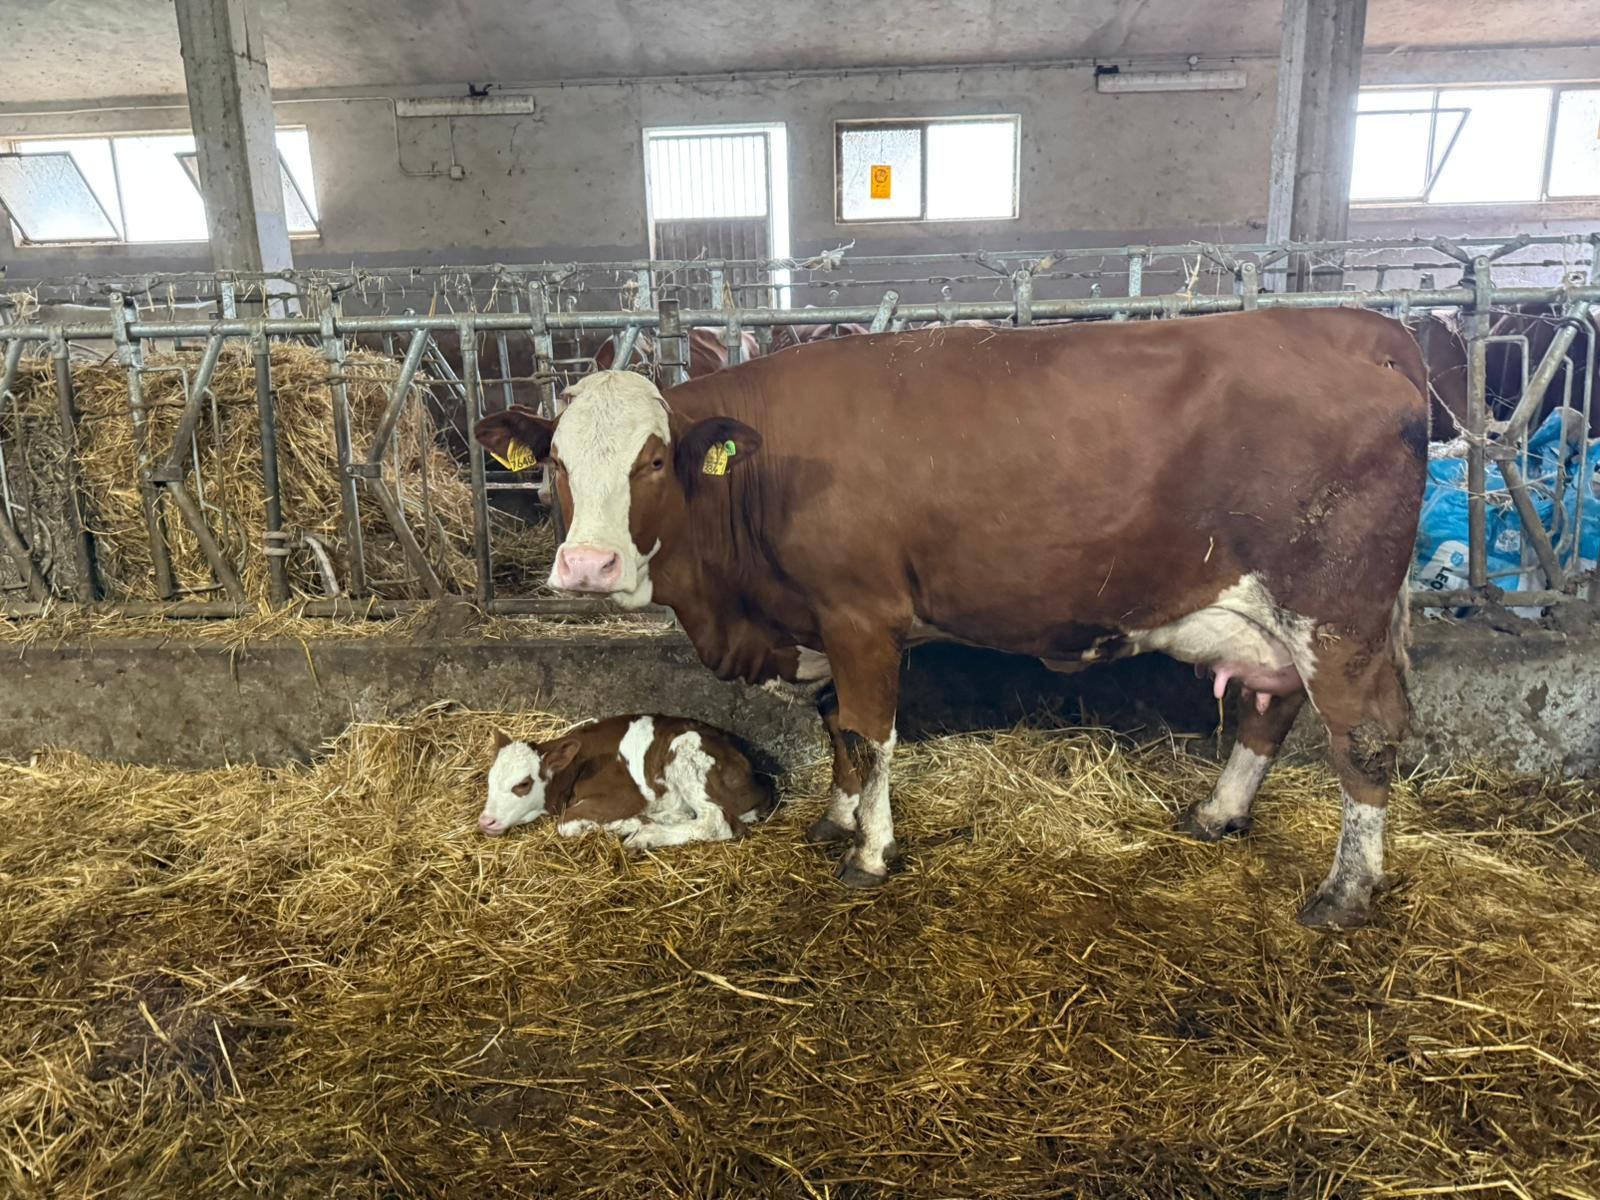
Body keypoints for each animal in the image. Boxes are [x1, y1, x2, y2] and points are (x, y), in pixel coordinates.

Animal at [473, 308, 1430, 930]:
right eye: (555, 461)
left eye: (654, 459)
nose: (587, 567)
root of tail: (1369, 330)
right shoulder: (820, 624)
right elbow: (837, 732)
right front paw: (837, 820)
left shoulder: (862, 613)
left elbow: (870, 734)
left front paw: (868, 854)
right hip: (1282, 619)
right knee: (1272, 703)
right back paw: (1219, 812)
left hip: (1335, 610)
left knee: (1368, 735)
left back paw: (1345, 893)